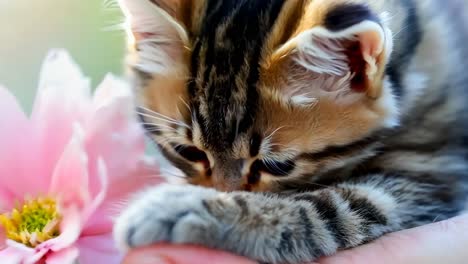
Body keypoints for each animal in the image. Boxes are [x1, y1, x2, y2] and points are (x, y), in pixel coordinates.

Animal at [113, 0, 468, 262]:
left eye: (276, 166)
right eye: (187, 151)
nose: (221, 191)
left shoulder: (434, 179)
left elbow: (332, 208)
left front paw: (181, 208)